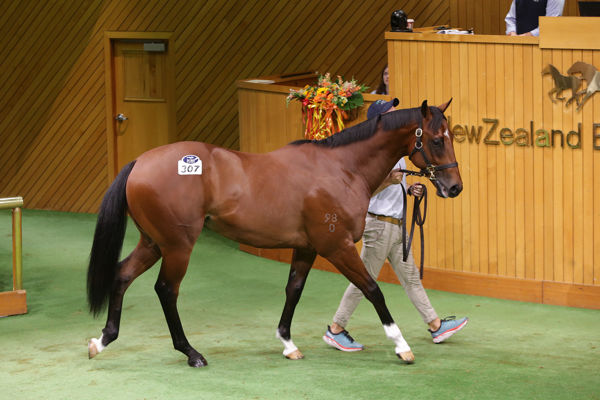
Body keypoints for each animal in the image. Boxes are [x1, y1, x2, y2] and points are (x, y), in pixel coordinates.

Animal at [86, 99, 462, 366]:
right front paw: (402, 346)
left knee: (122, 275)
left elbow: (293, 290)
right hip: (178, 246)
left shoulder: (307, 247)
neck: (341, 169)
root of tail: (140, 163)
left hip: (153, 242)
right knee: (166, 290)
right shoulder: (336, 246)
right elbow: (372, 290)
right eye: (436, 140)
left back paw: (101, 341)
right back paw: (191, 353)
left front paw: (288, 343)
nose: (454, 187)